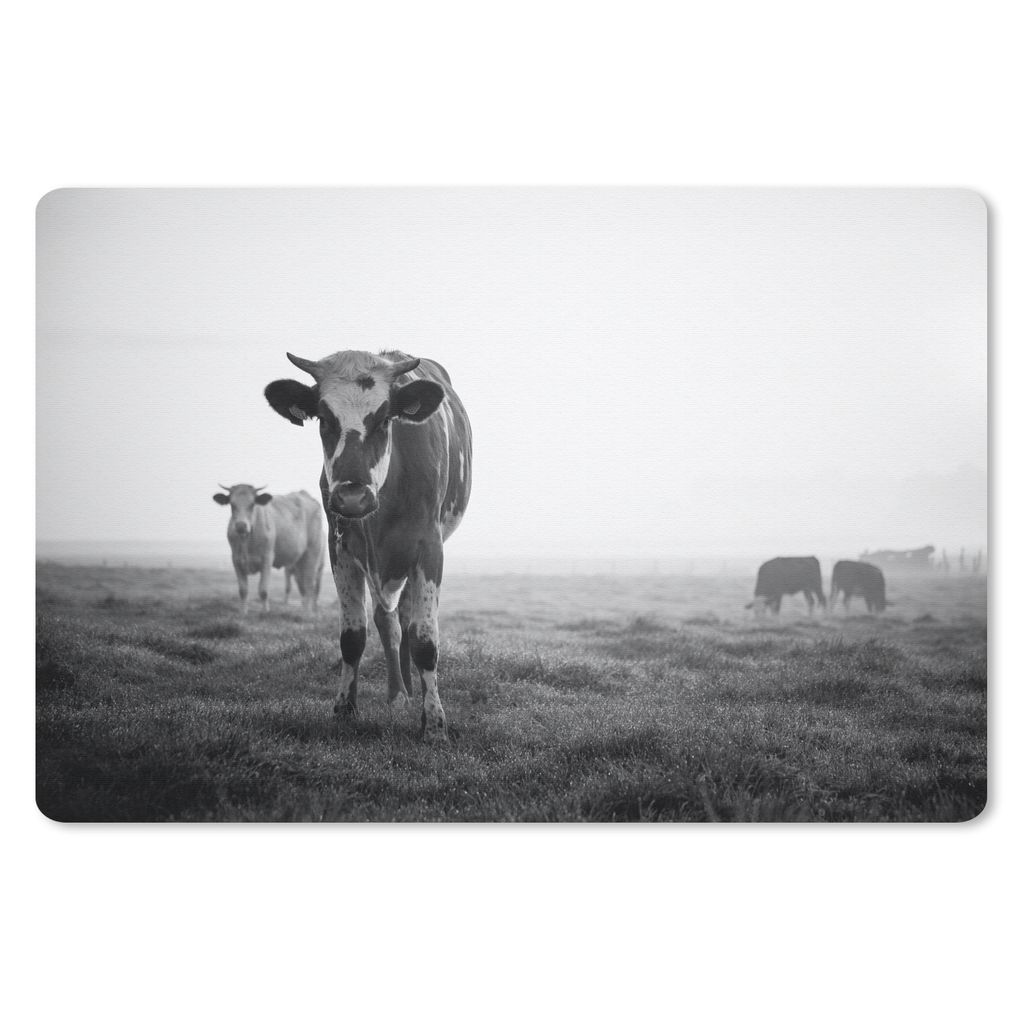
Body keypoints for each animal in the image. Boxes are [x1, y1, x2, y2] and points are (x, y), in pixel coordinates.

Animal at [212, 484, 325, 616]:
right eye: (232, 504)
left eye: (252, 504)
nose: (241, 526)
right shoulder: (236, 560)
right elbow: (243, 590)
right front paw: (243, 612)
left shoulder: (267, 559)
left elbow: (263, 590)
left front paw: (265, 612)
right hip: (298, 562)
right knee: (303, 586)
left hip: (312, 555)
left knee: (310, 585)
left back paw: (307, 613)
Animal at [264, 350, 472, 741]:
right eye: (324, 419)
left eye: (384, 419)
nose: (352, 497)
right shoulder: (341, 550)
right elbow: (353, 637)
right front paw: (344, 709)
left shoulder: (429, 549)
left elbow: (425, 641)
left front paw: (434, 723)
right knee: (389, 622)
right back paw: (397, 693)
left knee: (406, 623)